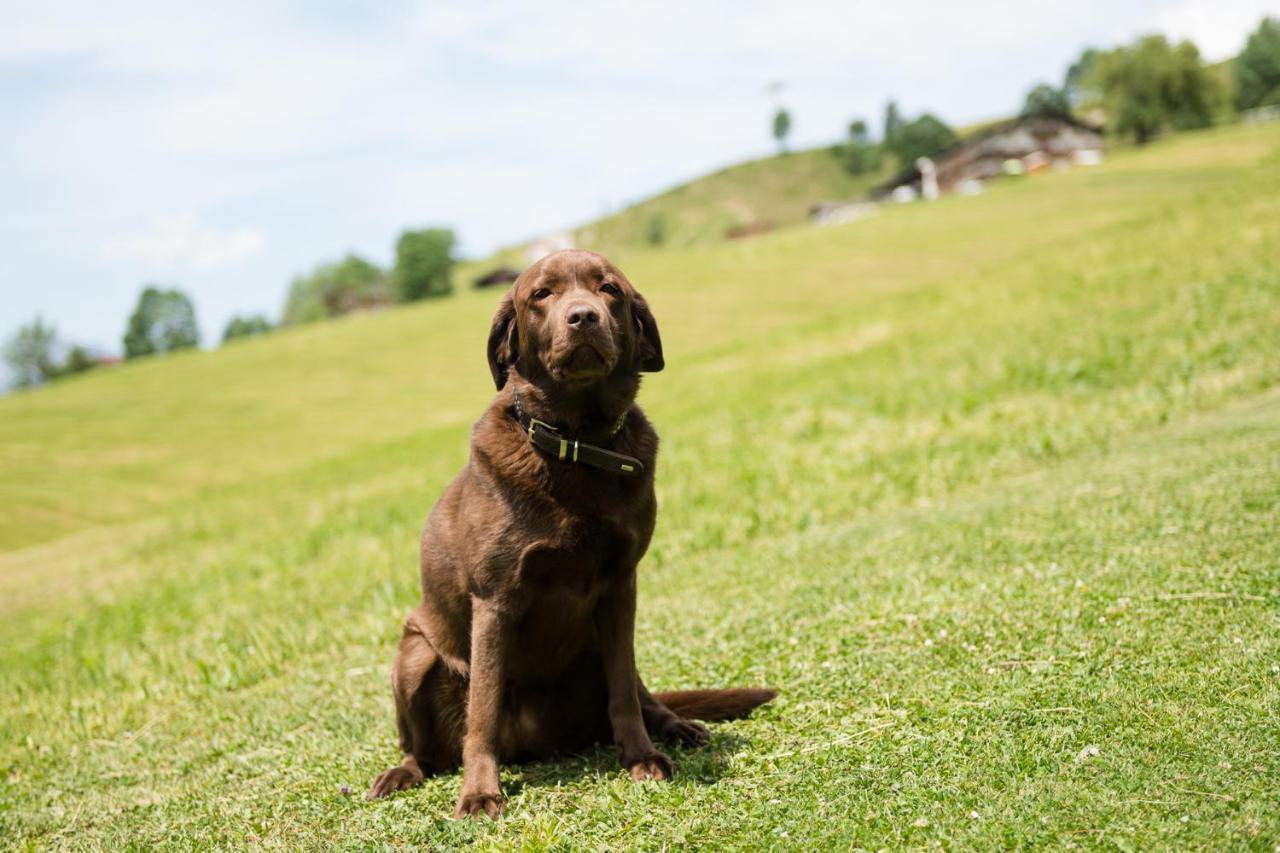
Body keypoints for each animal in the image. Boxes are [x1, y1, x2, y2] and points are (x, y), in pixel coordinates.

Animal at [366, 249, 773, 814]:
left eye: (609, 290)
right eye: (542, 294)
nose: (583, 317)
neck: (577, 445)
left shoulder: (622, 585)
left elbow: (624, 691)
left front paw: (641, 757)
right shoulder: (494, 601)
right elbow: (483, 709)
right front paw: (479, 792)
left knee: (642, 693)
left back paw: (676, 727)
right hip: (414, 657)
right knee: (421, 750)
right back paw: (401, 773)